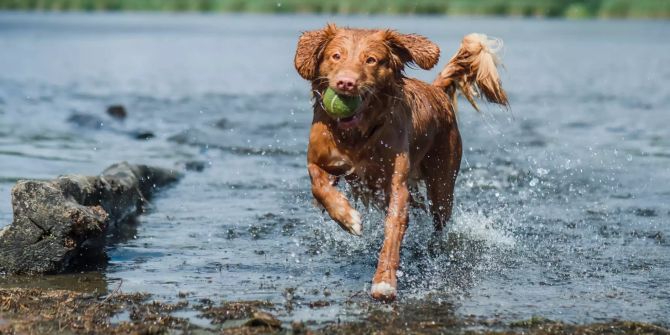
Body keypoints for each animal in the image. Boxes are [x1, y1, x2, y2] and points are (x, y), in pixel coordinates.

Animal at [294, 23, 510, 302]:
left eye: (371, 60)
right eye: (336, 56)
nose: (346, 83)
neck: (357, 136)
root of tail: (437, 90)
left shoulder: (397, 185)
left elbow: (393, 232)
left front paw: (384, 282)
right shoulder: (318, 160)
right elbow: (318, 185)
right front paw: (347, 217)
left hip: (442, 184)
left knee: (439, 220)